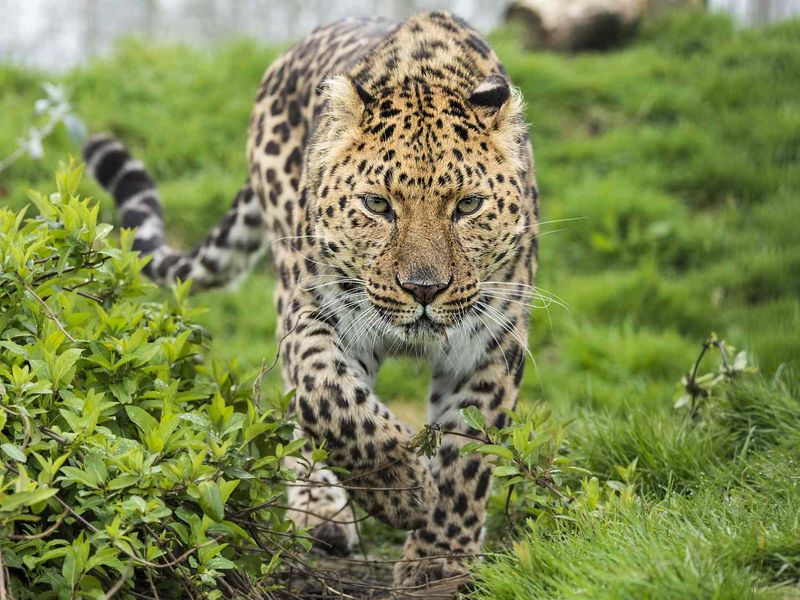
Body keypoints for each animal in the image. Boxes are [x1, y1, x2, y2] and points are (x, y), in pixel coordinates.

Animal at [84, 10, 540, 592]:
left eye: (468, 206)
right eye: (377, 205)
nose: (423, 289)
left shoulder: (491, 342)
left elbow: (467, 457)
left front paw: (439, 561)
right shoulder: (319, 312)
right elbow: (328, 397)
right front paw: (398, 485)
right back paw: (321, 508)